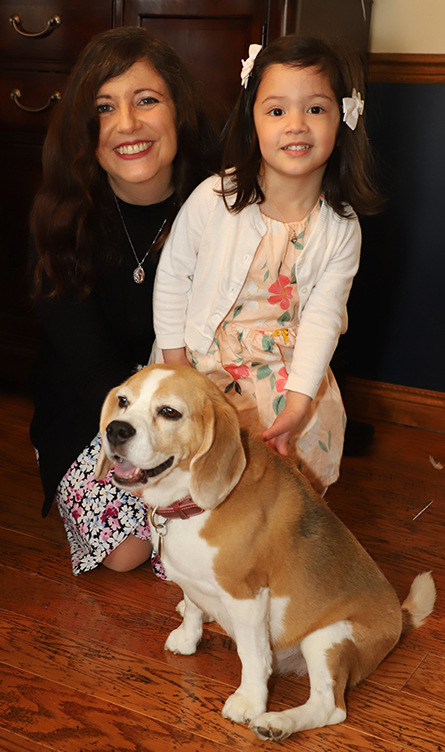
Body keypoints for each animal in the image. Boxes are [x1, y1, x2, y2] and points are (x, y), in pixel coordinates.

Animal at [96, 364, 434, 740]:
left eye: (169, 412)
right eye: (123, 401)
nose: (115, 430)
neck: (190, 504)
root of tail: (399, 619)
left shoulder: (247, 596)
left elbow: (253, 657)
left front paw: (249, 702)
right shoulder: (193, 578)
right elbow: (194, 608)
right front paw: (187, 636)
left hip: (326, 639)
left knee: (330, 707)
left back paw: (277, 723)